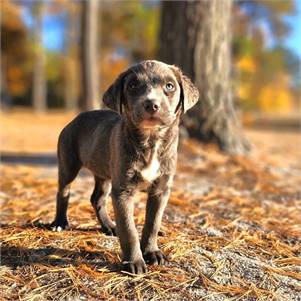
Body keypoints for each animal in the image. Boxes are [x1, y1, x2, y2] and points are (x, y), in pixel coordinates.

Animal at [51, 59, 199, 274]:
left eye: (170, 86)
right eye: (133, 86)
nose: (151, 104)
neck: (151, 141)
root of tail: (76, 118)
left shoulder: (161, 190)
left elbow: (153, 223)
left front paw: (152, 252)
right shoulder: (123, 190)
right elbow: (129, 230)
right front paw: (134, 262)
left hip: (104, 173)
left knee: (97, 198)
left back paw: (109, 226)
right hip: (68, 163)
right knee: (63, 191)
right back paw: (60, 223)